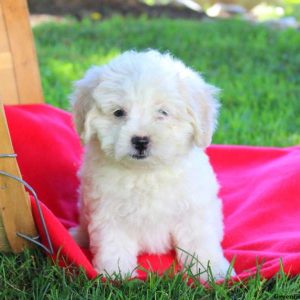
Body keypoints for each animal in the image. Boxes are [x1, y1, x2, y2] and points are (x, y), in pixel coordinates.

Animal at [70, 49, 234, 282]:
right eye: (119, 112)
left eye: (163, 112)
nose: (140, 141)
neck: (147, 172)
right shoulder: (108, 210)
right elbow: (113, 242)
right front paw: (116, 273)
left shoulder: (194, 208)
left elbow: (199, 240)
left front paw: (212, 270)